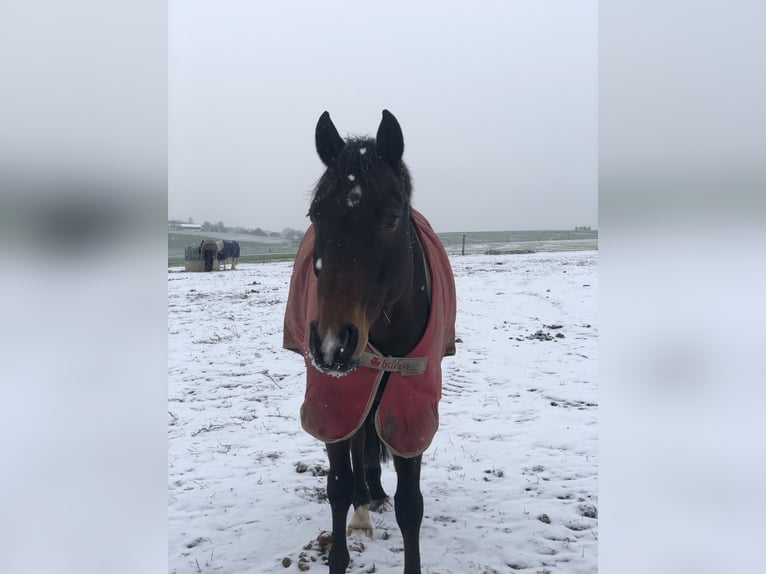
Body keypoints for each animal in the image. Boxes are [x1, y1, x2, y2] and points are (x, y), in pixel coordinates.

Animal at [286, 111, 456, 574]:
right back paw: (363, 509)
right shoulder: (333, 400)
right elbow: (338, 486)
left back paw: (375, 495)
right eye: (315, 214)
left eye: (392, 217)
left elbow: (411, 505)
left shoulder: (412, 406)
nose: (331, 345)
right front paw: (340, 557)